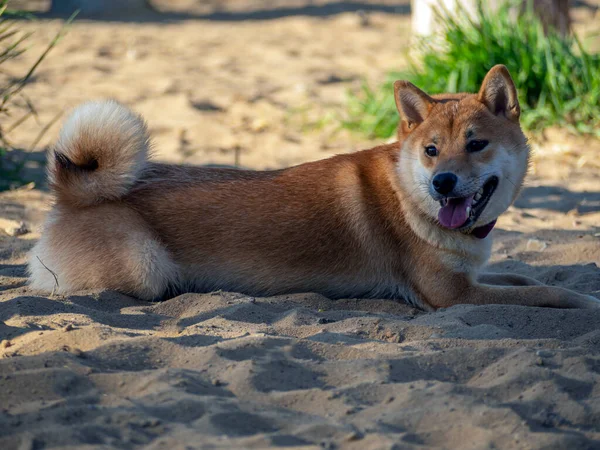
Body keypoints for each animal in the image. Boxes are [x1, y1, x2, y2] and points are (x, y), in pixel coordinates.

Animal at [29, 65, 600, 310]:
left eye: (476, 144)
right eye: (432, 150)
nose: (443, 183)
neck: (409, 197)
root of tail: (72, 193)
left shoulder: (471, 278)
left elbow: (528, 280)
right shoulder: (452, 295)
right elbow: (547, 294)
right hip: (146, 269)